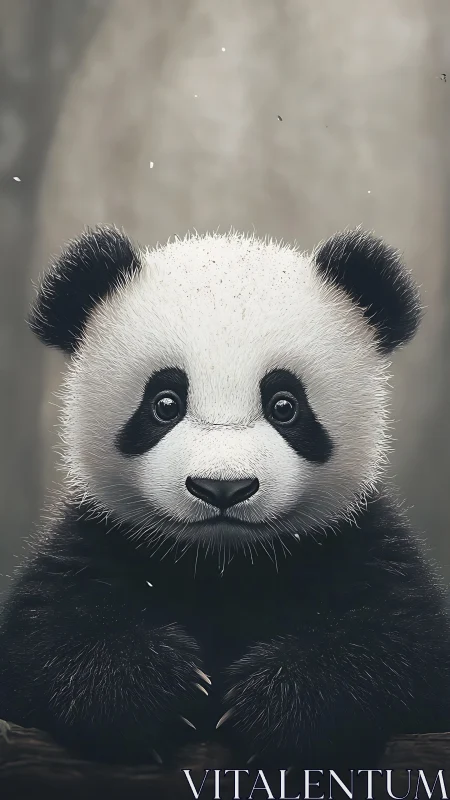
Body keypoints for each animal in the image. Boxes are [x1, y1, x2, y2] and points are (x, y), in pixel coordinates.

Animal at [1, 224, 450, 770]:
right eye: (165, 403)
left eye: (285, 405)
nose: (223, 487)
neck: (223, 562)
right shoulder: (99, 536)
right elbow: (42, 636)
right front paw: (158, 691)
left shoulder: (355, 539)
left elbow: (404, 645)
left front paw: (276, 703)